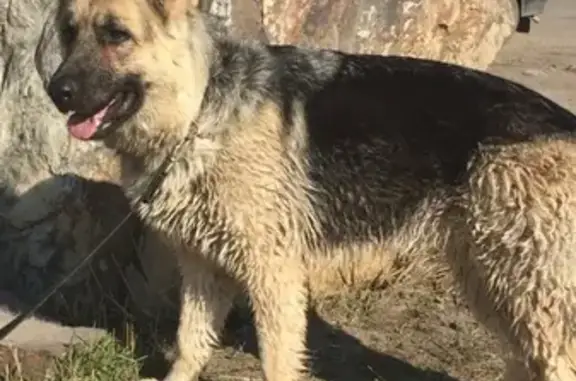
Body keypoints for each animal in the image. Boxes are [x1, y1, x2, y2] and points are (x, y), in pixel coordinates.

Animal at [41, 0, 576, 380]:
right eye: (69, 33)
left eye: (116, 35)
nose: (56, 92)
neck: (201, 107)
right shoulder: (203, 269)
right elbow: (190, 346)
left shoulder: (272, 275)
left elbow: (276, 361)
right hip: (492, 279)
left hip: (525, 285)